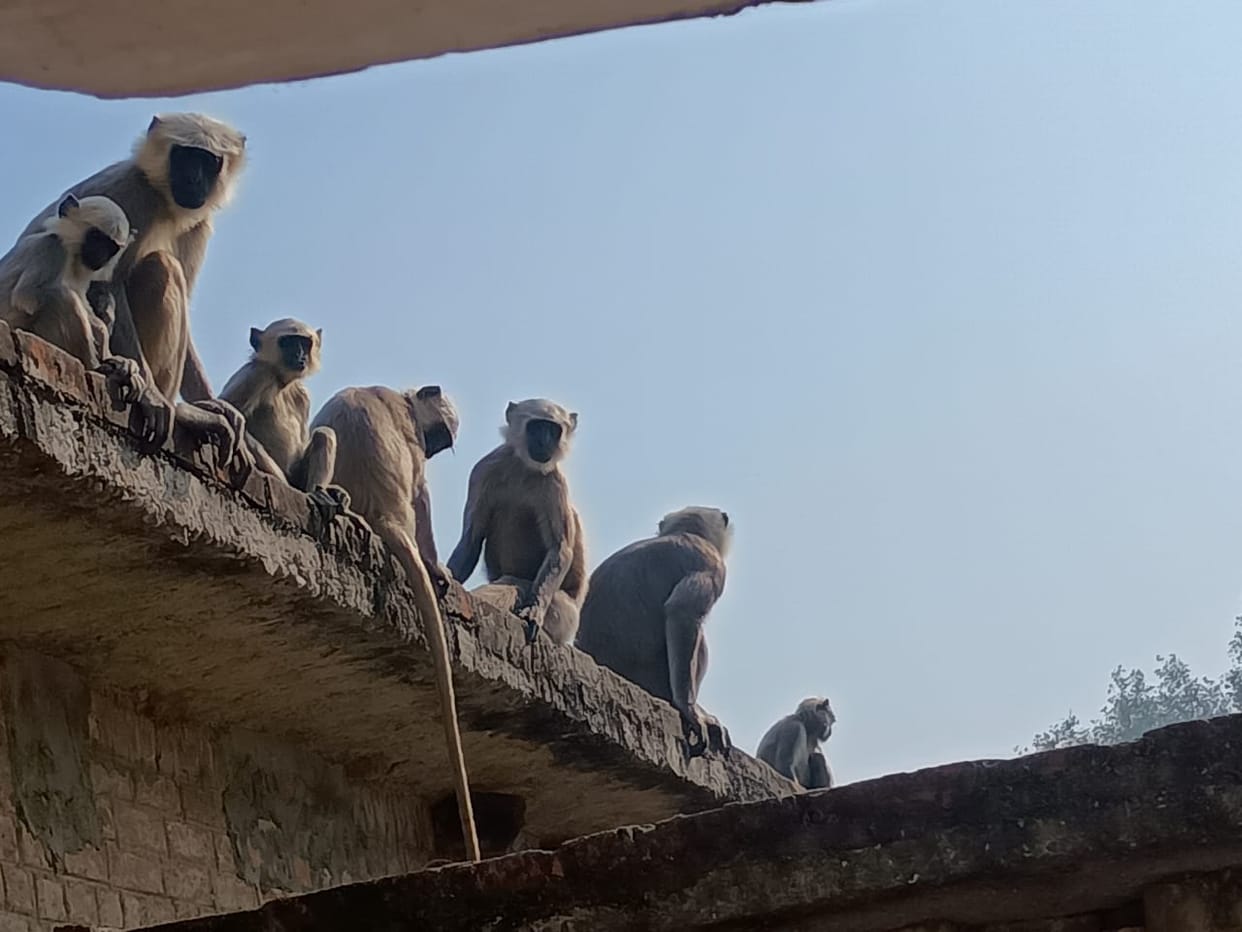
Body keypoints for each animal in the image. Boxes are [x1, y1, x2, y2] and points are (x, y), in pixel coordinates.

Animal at [0, 193, 144, 400]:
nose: (100, 256)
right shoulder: (51, 245)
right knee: (63, 297)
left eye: (112, 248)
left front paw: (120, 360)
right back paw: (96, 367)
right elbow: (25, 298)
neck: (70, 253)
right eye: (96, 238)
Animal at [18, 113, 248, 463]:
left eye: (209, 162)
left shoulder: (199, 223)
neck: (162, 199)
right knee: (161, 266)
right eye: (185, 157)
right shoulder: (127, 192)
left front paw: (213, 402)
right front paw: (153, 398)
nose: (194, 179)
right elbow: (109, 283)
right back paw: (181, 411)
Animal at [219, 318, 347, 515]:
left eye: (304, 343)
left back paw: (319, 493)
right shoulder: (258, 373)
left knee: (324, 433)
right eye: (288, 342)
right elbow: (224, 406)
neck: (281, 382)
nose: (300, 355)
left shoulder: (303, 395)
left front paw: (335, 491)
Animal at [309, 384, 481, 862]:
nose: (436, 448)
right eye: (436, 438)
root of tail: (385, 515)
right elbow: (422, 492)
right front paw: (439, 569)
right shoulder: (412, 437)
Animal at [446, 398, 586, 646]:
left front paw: (534, 611)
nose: (545, 441)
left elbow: (560, 549)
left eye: (553, 430)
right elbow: (471, 538)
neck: (525, 468)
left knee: (515, 583)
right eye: (537, 427)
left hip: (563, 614)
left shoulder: (555, 482)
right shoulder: (484, 469)